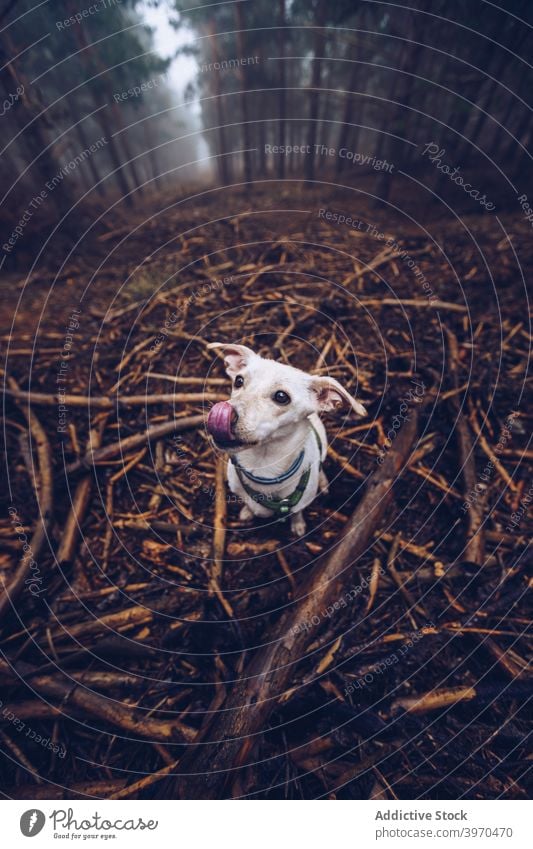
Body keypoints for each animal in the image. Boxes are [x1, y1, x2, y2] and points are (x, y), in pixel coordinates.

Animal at [205, 342, 366, 532]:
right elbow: (248, 504)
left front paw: (298, 524)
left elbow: (297, 512)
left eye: (281, 397)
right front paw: (247, 512)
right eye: (238, 381)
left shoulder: (301, 502)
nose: (224, 414)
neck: (263, 465)